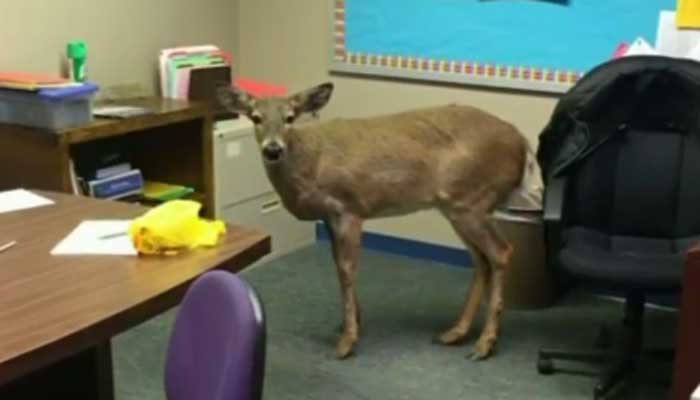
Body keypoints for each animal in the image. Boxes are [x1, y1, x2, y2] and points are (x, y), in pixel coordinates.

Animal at [219, 81, 540, 360]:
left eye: (290, 117)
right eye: (256, 117)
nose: (273, 149)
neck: (311, 164)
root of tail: (523, 144)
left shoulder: (349, 208)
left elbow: (347, 269)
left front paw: (347, 341)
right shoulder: (329, 216)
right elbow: (337, 267)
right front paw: (351, 324)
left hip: (471, 201)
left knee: (501, 252)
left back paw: (485, 344)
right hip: (457, 207)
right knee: (481, 260)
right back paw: (455, 333)